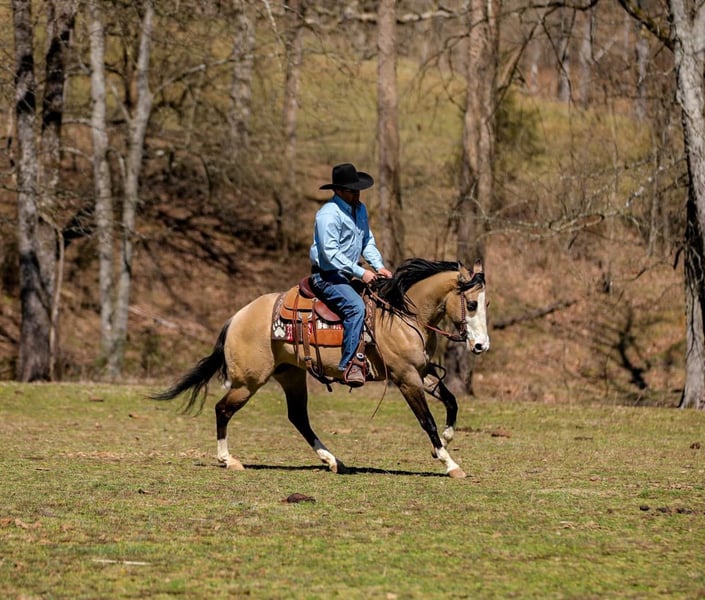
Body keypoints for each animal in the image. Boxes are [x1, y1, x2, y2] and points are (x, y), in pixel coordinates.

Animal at [151, 258, 490, 478]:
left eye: (486, 304)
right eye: (472, 304)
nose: (480, 346)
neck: (402, 315)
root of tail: (237, 316)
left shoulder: (422, 371)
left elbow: (451, 401)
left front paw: (445, 441)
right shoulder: (406, 377)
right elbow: (426, 421)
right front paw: (449, 463)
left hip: (290, 375)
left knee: (298, 417)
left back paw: (333, 460)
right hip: (248, 381)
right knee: (222, 409)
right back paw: (227, 459)